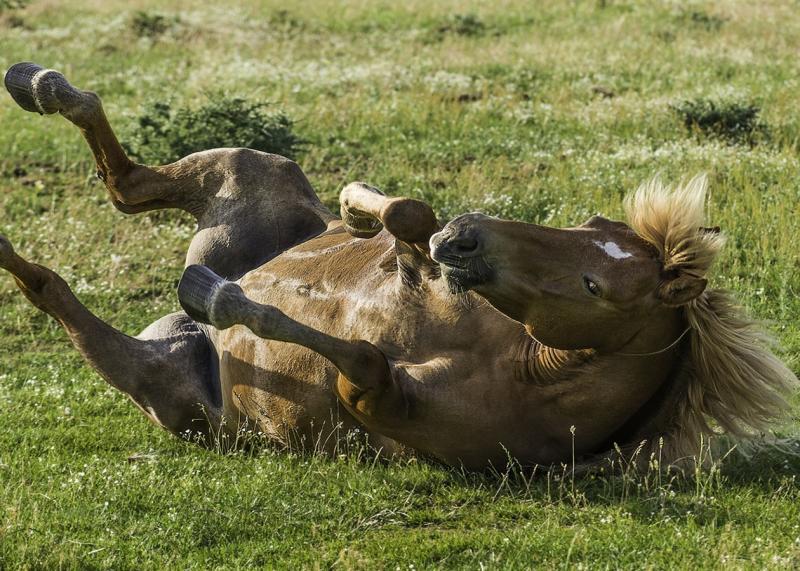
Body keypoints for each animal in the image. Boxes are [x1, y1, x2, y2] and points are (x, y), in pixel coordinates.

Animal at [3, 63, 796, 470]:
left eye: (594, 285)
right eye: (590, 227)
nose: (467, 240)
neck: (525, 369)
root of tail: (176, 339)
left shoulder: (375, 396)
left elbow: (361, 355)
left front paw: (219, 296)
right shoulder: (427, 261)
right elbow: (410, 214)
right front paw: (361, 211)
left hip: (161, 388)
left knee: (55, 285)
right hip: (249, 167)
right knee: (127, 180)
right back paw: (38, 84)